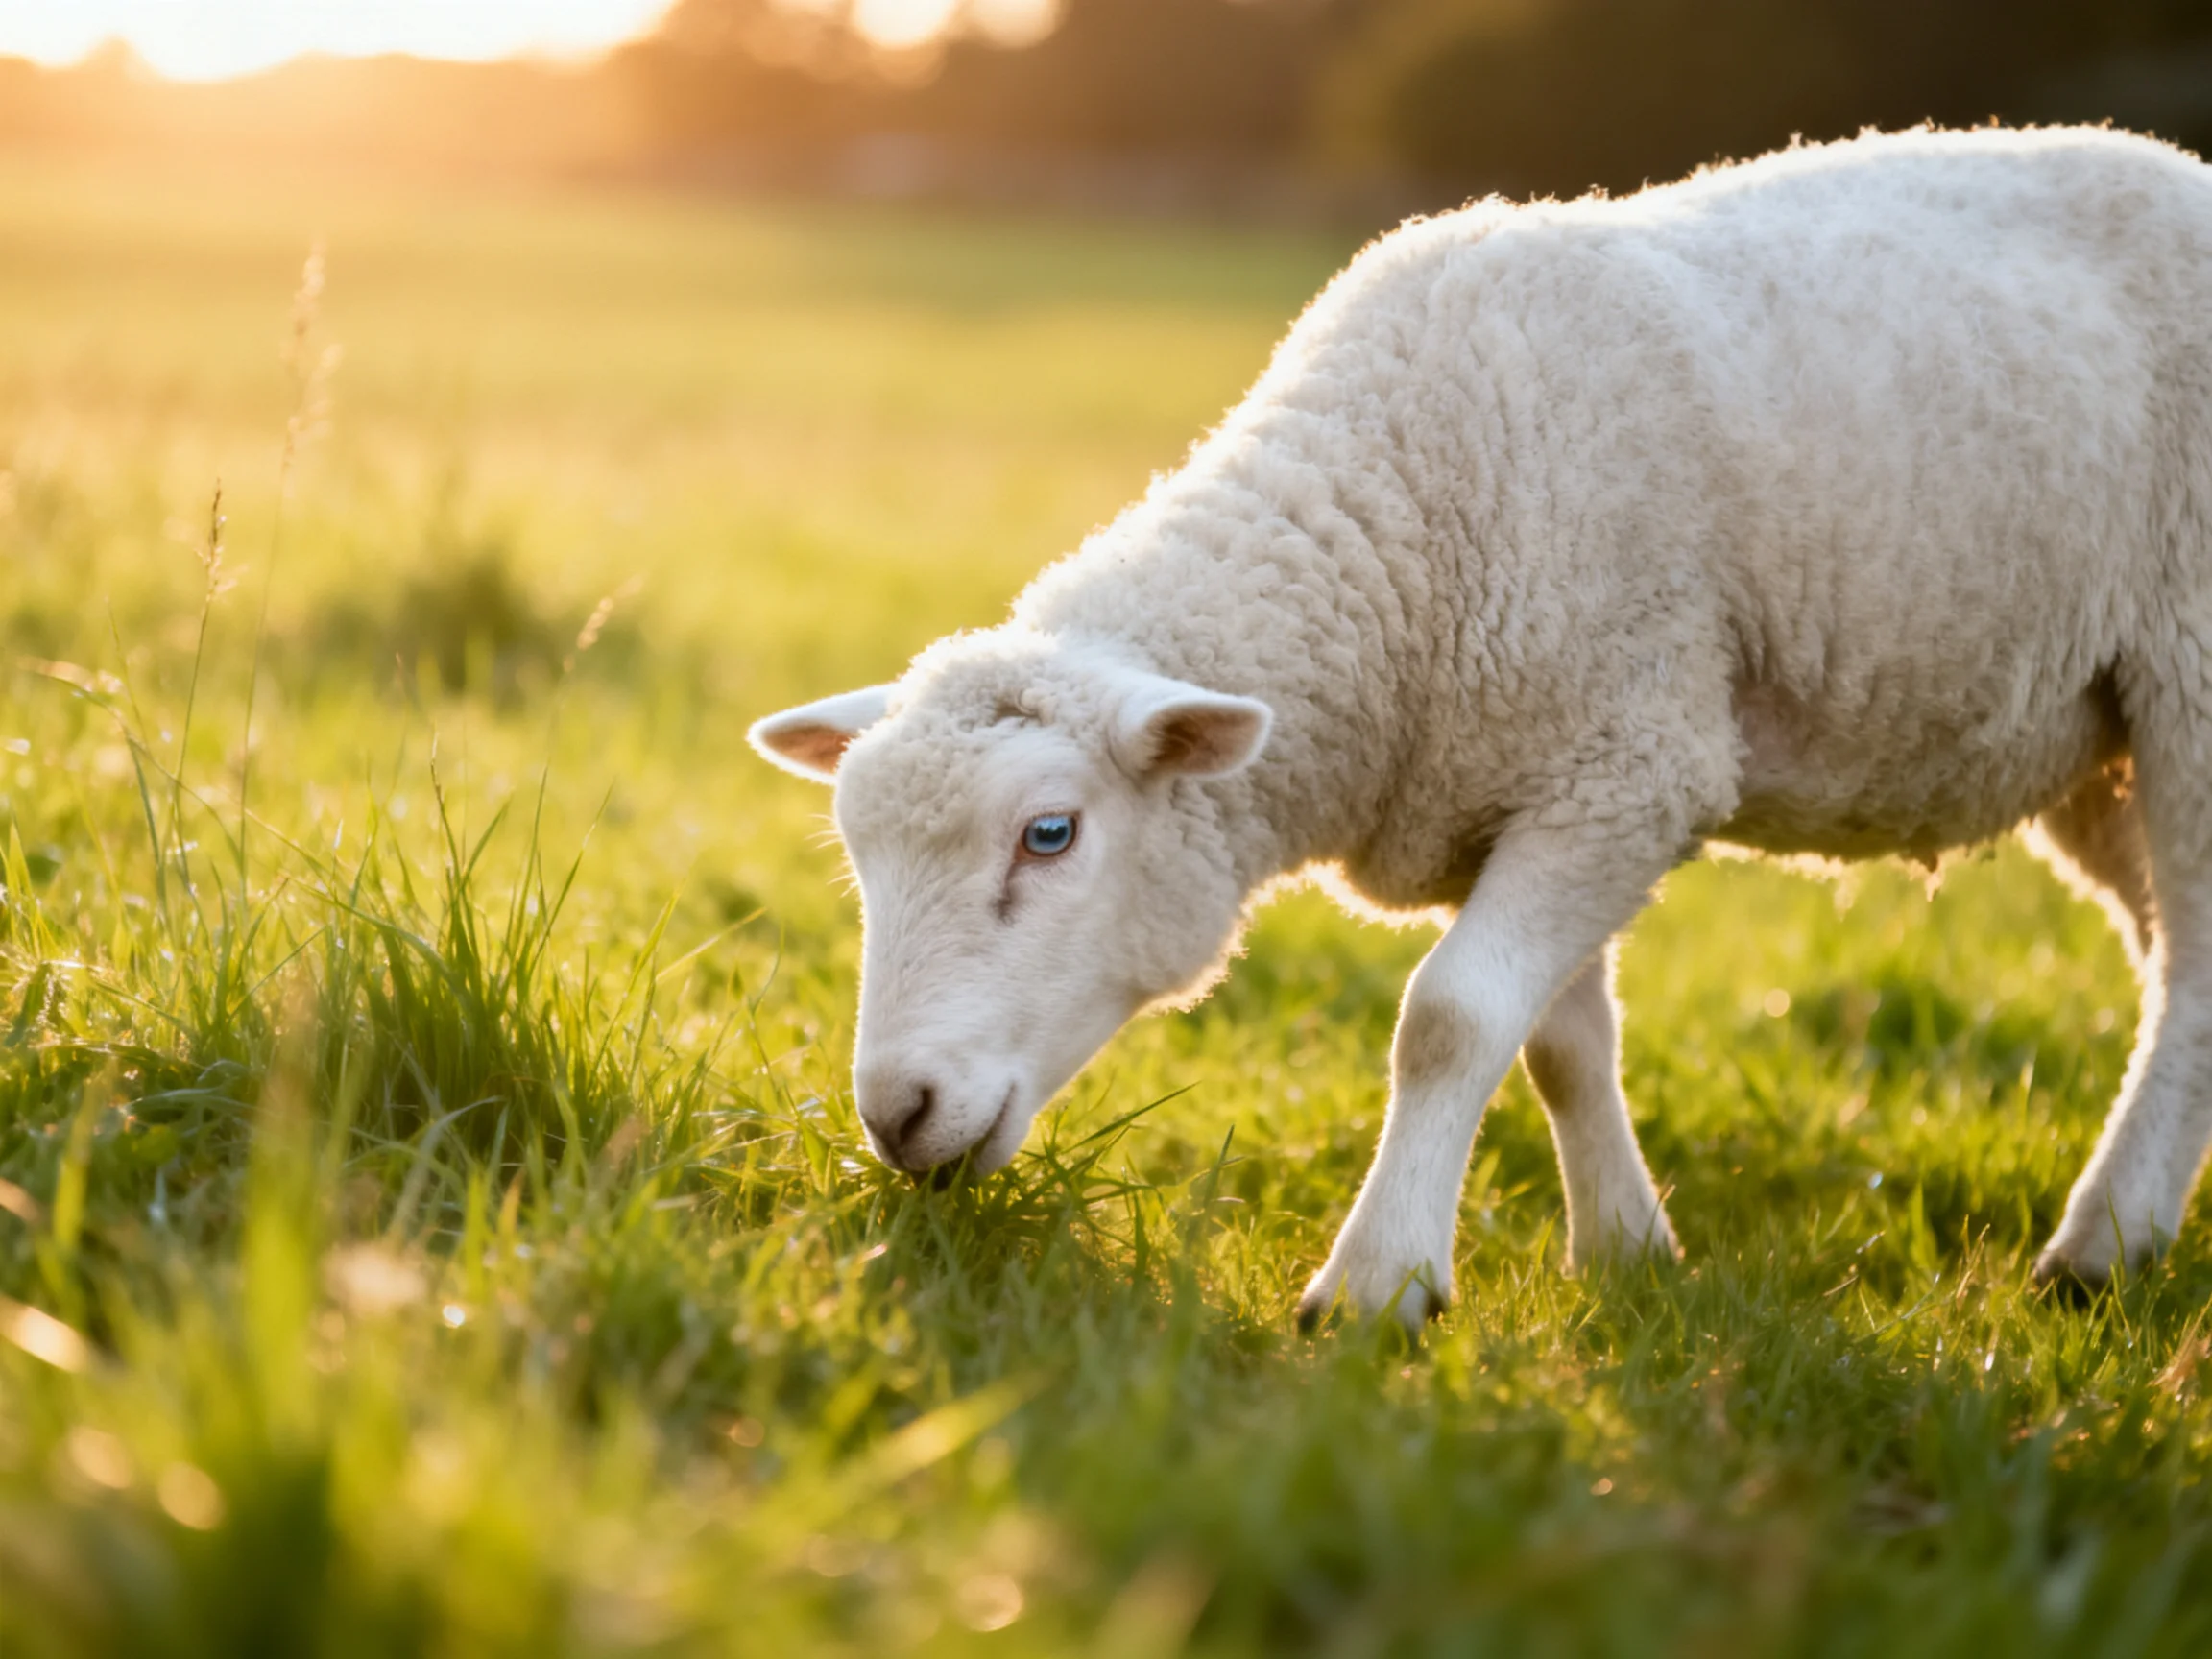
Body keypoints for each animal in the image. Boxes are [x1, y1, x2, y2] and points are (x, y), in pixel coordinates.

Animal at [752, 125, 2212, 1332]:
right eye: (860, 859)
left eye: (1048, 834)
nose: (895, 1116)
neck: (1396, 536)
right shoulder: (1528, 783)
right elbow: (1559, 1042)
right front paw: (1628, 1252)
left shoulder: (1632, 764)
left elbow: (1449, 1019)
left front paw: (1378, 1287)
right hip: (2097, 746)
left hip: (2193, 669)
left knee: (2193, 969)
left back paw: (2099, 1251)